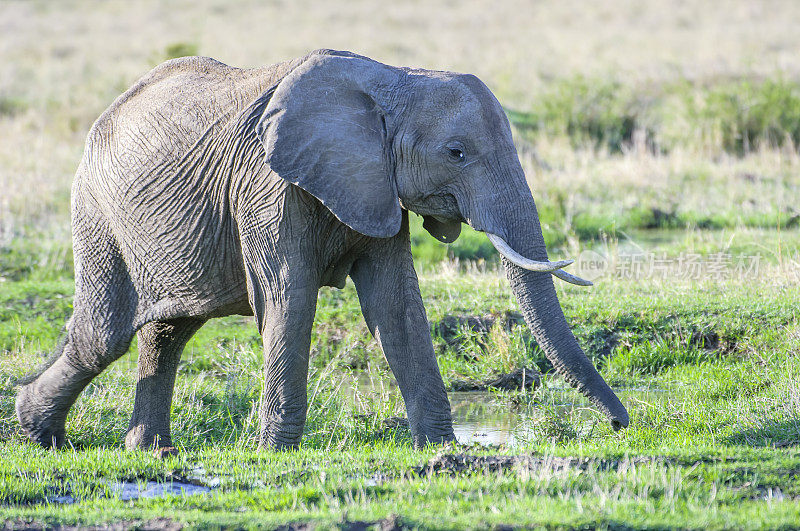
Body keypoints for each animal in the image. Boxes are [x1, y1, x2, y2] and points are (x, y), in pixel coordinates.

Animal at [14, 48, 624, 454]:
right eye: (456, 152)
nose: (620, 426)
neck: (392, 79)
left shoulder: (375, 184)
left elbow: (396, 306)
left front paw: (441, 452)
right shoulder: (267, 185)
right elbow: (290, 297)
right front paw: (275, 453)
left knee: (167, 331)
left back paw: (146, 451)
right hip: (97, 213)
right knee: (103, 336)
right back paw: (37, 432)